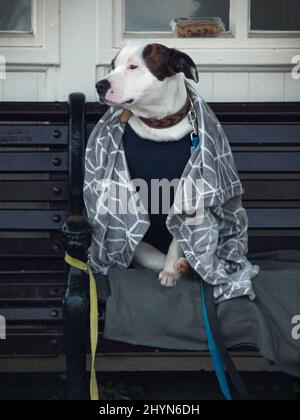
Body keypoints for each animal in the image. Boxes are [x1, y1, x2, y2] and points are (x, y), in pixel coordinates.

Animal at [96, 43, 199, 288]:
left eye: (133, 67)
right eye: (113, 66)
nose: (100, 85)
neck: (158, 125)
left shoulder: (182, 195)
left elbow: (175, 241)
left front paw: (170, 271)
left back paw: (183, 266)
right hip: (145, 251)